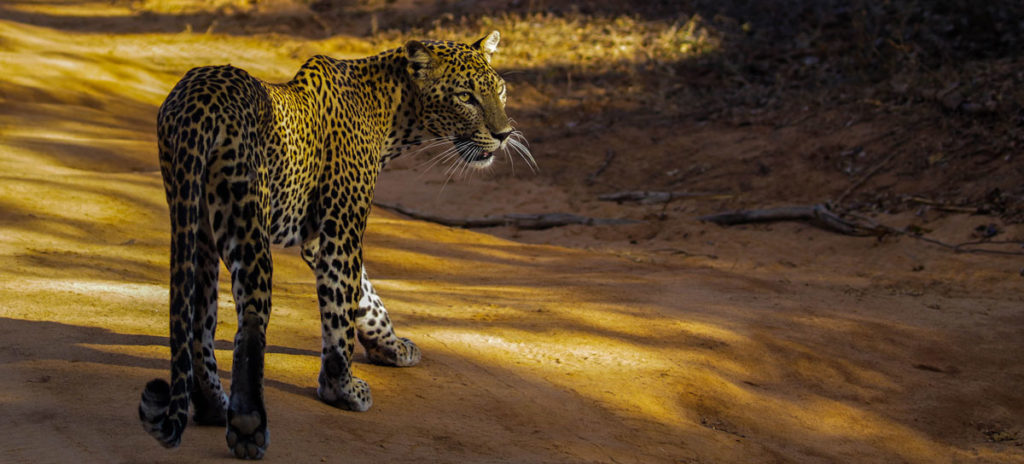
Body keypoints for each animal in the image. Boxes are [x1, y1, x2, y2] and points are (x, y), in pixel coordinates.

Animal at [137, 31, 530, 459]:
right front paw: (341, 389)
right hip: (246, 216)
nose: (504, 134)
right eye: (465, 96)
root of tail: (196, 101)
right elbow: (342, 307)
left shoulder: (318, 238)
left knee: (198, 322)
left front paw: (391, 346)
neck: (394, 110)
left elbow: (367, 297)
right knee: (251, 322)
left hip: (196, 224)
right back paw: (247, 428)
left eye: (500, 90)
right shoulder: (341, 228)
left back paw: (212, 407)